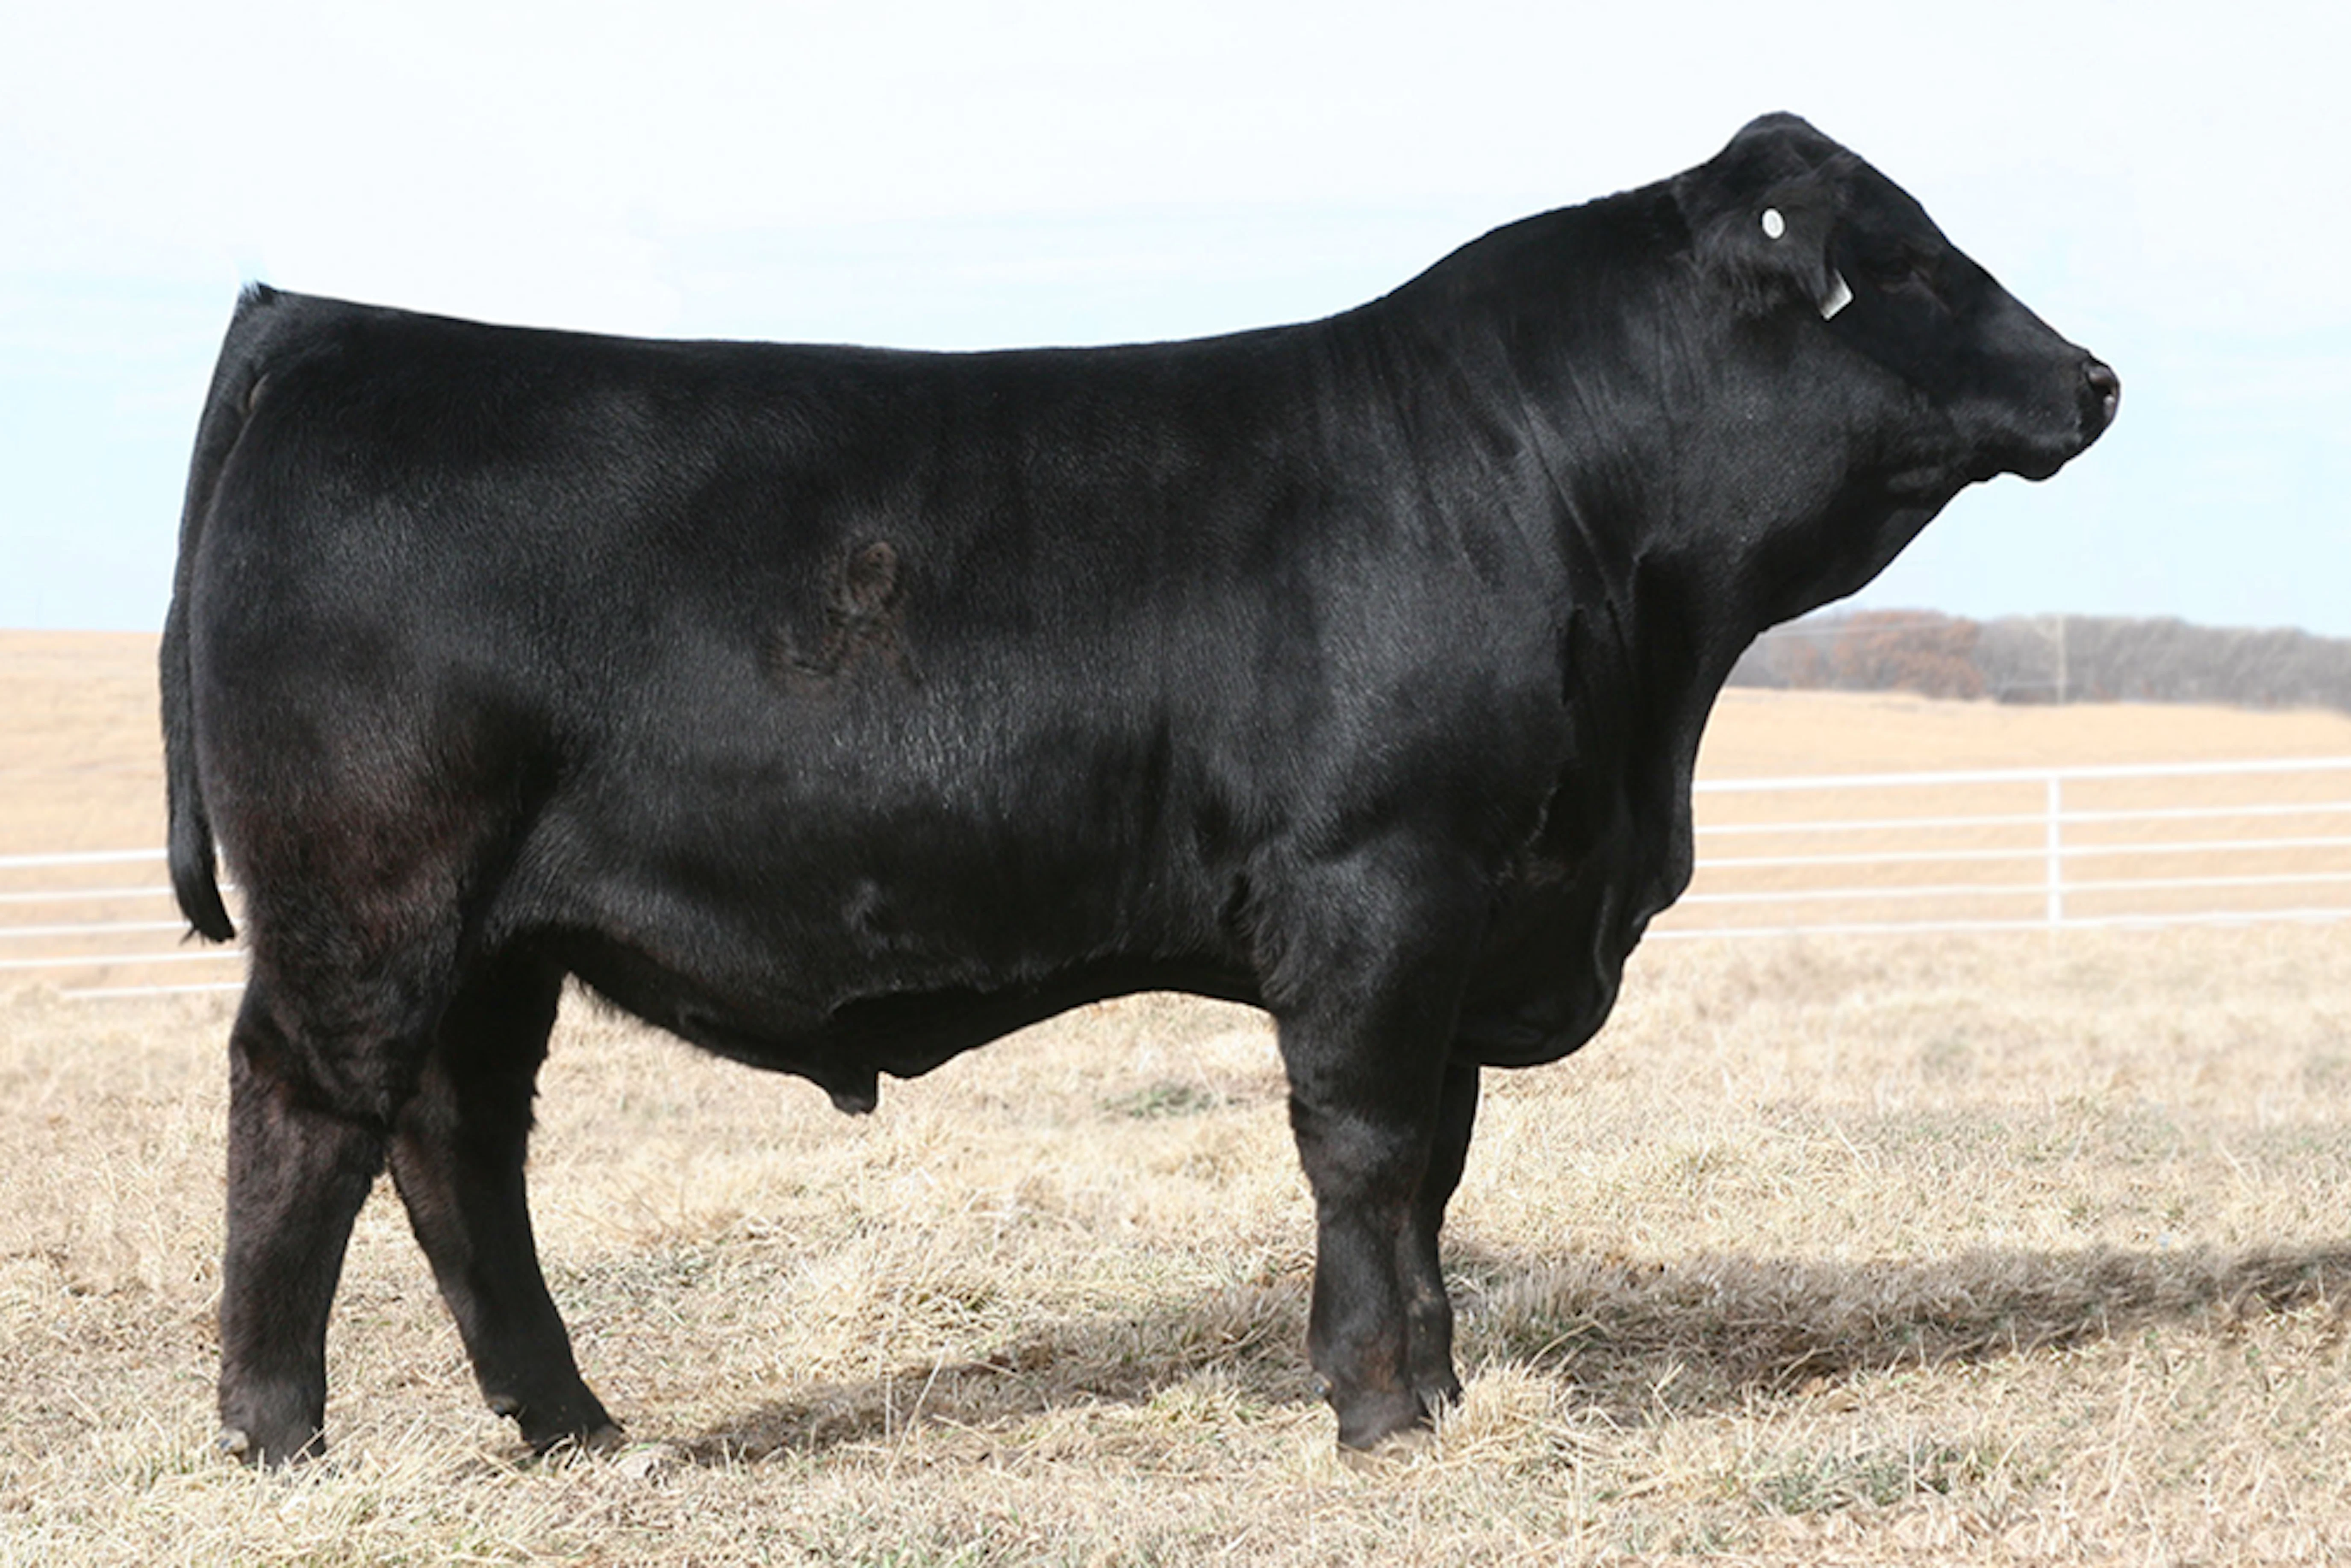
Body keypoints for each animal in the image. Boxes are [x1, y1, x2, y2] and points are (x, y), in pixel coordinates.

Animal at [163, 114, 2116, 1464]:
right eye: (1909, 264)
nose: (2094, 376)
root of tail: (334, 328)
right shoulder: (1379, 882)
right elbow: (1366, 1141)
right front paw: (1381, 1402)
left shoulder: (1468, 917)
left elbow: (1434, 1159)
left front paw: (1434, 1385)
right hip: (368, 894)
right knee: (306, 1117)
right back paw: (277, 1435)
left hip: (494, 936)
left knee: (456, 1146)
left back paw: (574, 1422)